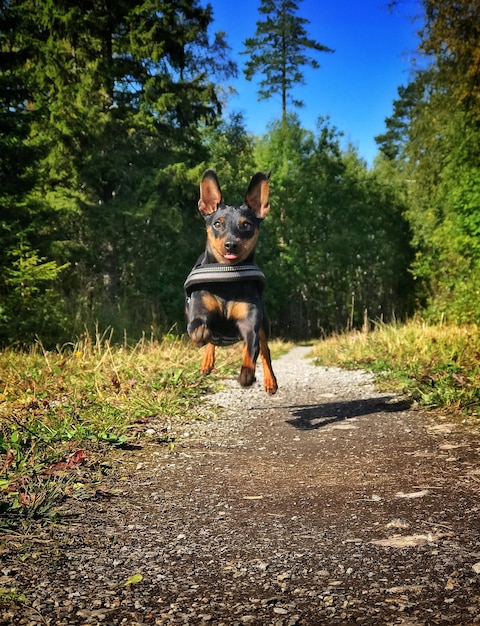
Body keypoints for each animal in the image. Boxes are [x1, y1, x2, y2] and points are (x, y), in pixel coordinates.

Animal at [186, 169, 280, 394]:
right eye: (217, 223)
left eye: (246, 224)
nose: (231, 244)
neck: (227, 277)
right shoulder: (198, 311)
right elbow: (197, 328)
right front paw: (201, 335)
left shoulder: (250, 324)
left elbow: (251, 349)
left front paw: (246, 374)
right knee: (211, 340)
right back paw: (207, 361)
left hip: (264, 324)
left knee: (265, 351)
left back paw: (270, 381)